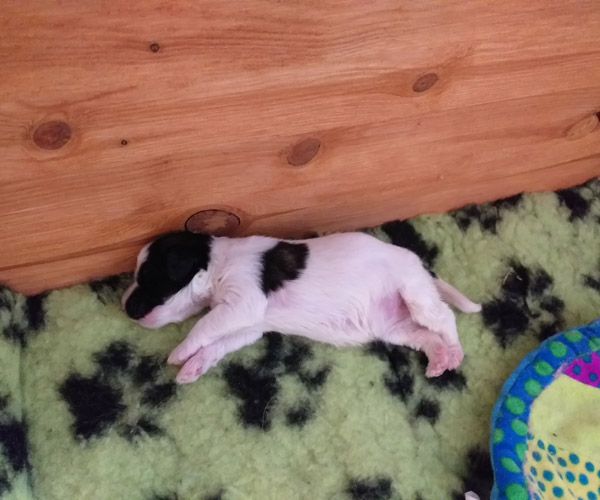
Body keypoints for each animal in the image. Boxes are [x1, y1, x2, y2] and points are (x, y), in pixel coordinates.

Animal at [122, 231, 481, 384]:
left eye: (147, 278)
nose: (123, 306)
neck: (215, 262)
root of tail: (422, 266)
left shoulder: (243, 303)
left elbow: (203, 325)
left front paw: (180, 352)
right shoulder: (249, 325)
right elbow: (217, 342)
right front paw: (194, 366)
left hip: (415, 293)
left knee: (444, 318)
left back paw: (455, 351)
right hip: (396, 327)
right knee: (426, 337)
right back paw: (439, 360)